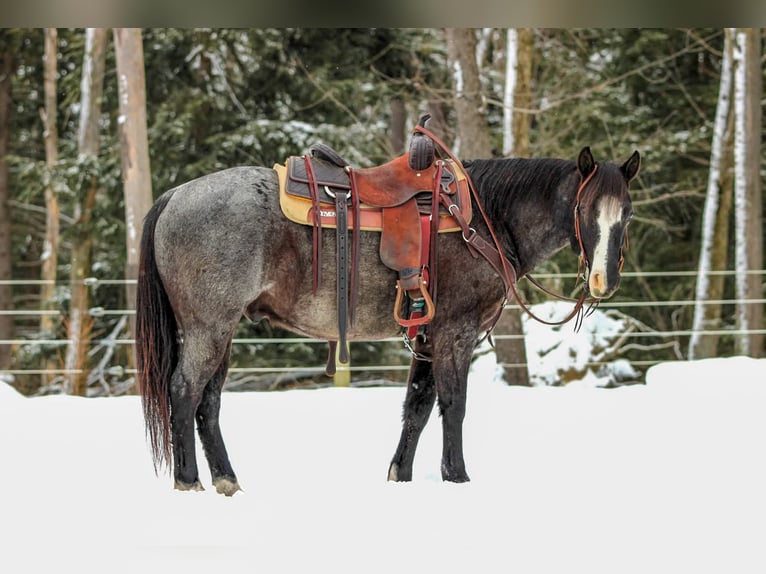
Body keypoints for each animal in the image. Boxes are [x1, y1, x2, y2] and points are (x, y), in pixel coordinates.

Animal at [135, 145, 640, 495]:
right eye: (583, 210)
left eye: (628, 212)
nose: (603, 279)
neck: (484, 220)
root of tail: (175, 195)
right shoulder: (455, 333)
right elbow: (453, 405)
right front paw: (457, 477)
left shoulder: (428, 337)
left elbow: (417, 406)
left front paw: (401, 475)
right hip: (209, 328)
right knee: (184, 391)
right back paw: (189, 480)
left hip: (222, 331)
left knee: (209, 402)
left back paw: (227, 480)